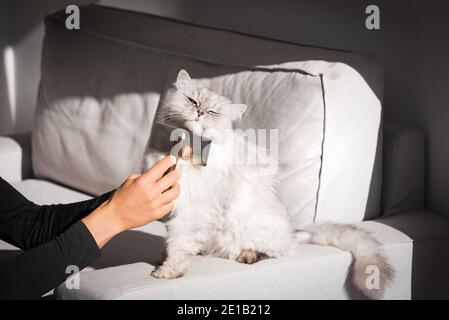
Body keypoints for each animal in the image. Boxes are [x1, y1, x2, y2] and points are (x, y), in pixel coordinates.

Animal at [143, 70, 392, 300]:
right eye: (192, 101)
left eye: (213, 112)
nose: (200, 112)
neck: (189, 148)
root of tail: (293, 232)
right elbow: (175, 239)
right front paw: (164, 260)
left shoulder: (193, 209)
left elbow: (179, 243)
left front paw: (168, 270)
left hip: (244, 229)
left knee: (273, 251)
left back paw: (248, 255)